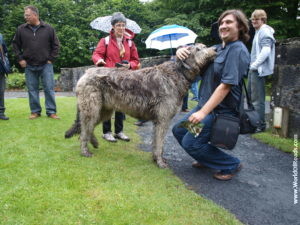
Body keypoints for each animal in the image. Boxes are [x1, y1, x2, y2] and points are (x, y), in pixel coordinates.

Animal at [65, 44, 216, 168]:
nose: (215, 49)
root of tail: (86, 73)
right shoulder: (163, 119)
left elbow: (157, 142)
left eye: (204, 46)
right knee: (84, 130)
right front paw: (160, 162)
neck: (178, 73)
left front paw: (157, 159)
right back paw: (85, 151)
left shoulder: (160, 120)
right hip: (92, 107)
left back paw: (94, 142)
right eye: (198, 49)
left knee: (87, 127)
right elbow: (160, 142)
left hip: (103, 110)